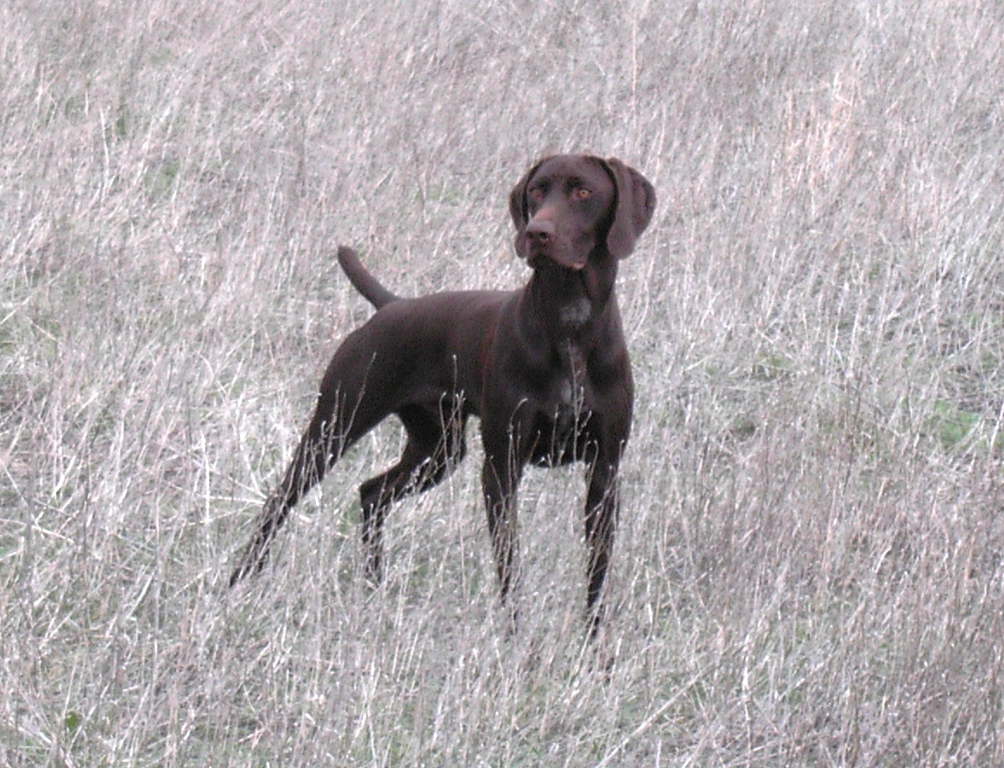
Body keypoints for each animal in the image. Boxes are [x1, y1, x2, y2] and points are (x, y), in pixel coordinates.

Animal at [231, 155, 658, 634]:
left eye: (583, 192)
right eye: (537, 191)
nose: (537, 233)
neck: (570, 324)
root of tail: (392, 305)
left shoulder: (605, 471)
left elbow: (597, 576)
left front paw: (594, 644)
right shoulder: (502, 468)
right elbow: (510, 569)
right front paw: (515, 639)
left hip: (438, 450)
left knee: (371, 492)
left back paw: (374, 587)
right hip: (336, 426)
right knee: (280, 499)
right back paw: (241, 580)